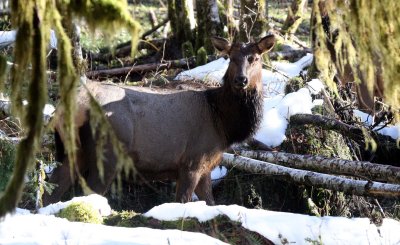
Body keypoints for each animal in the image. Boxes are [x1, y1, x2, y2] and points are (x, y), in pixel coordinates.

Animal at [43, 34, 276, 206]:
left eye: (254, 58)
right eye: (231, 57)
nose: (241, 80)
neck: (224, 126)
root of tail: (66, 107)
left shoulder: (206, 166)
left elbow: (211, 204)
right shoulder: (192, 161)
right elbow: (182, 203)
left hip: (74, 152)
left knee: (51, 191)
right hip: (107, 154)